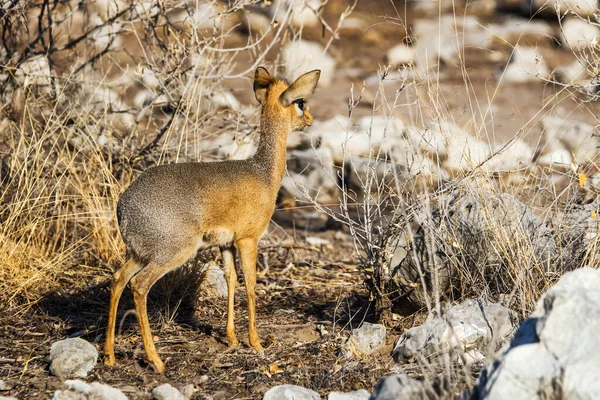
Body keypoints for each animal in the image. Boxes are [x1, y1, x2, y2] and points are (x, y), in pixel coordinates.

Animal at [103, 66, 322, 372]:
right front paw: (256, 342)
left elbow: (231, 279)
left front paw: (231, 338)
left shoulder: (225, 243)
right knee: (139, 285)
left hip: (140, 253)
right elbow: (251, 286)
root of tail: (123, 208)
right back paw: (156, 360)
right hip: (172, 252)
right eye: (301, 103)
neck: (264, 173)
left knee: (118, 279)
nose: (311, 120)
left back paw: (109, 355)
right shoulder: (248, 239)